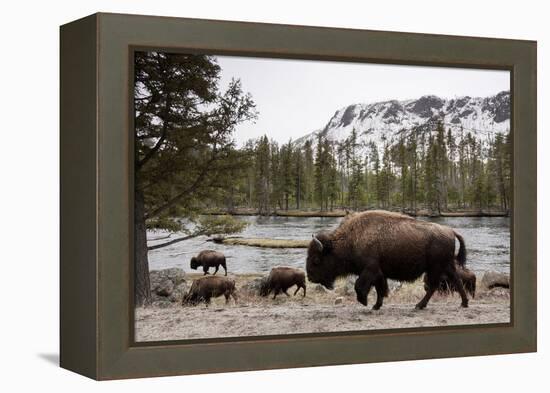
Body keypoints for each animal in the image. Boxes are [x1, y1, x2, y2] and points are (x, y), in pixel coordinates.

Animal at [306, 210, 470, 308]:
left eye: (316, 260)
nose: (310, 277)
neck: (351, 239)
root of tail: (451, 231)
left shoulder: (370, 269)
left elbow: (360, 286)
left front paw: (364, 302)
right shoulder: (379, 273)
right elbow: (380, 289)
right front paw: (376, 306)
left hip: (436, 267)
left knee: (434, 286)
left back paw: (419, 305)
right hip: (446, 266)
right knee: (455, 281)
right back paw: (463, 303)